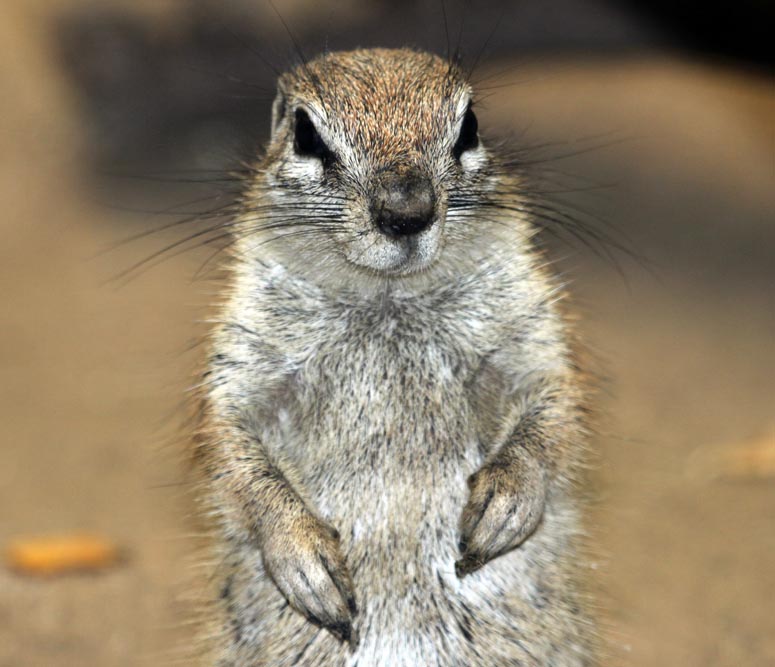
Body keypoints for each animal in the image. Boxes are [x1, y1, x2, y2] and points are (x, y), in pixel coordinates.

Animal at [196, 48, 600, 667]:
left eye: (470, 126)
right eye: (305, 135)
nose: (407, 211)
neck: (389, 302)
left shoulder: (529, 337)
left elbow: (555, 406)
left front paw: (506, 502)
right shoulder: (246, 359)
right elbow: (233, 449)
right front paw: (304, 560)